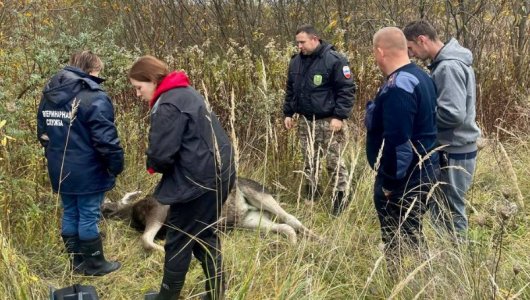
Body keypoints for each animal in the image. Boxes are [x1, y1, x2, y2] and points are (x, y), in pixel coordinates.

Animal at [102, 177, 318, 252]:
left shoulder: (158, 211)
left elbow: (146, 240)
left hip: (259, 195)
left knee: (291, 219)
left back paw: (317, 238)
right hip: (251, 220)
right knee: (286, 226)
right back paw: (294, 244)